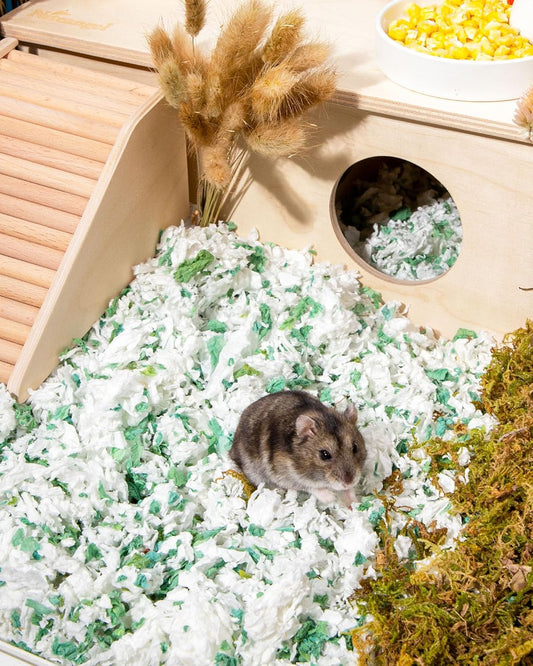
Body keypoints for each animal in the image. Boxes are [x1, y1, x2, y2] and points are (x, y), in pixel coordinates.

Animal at [229, 390, 366, 505]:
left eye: (355, 447)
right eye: (324, 454)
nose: (348, 482)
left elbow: (348, 491)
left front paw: (354, 504)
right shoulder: (288, 476)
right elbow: (312, 487)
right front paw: (331, 498)